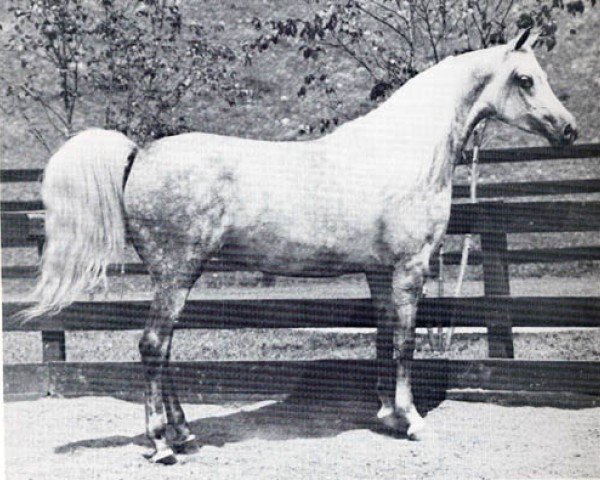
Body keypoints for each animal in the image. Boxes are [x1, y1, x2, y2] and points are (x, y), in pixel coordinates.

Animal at [22, 28, 576, 464]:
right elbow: (404, 343)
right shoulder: (408, 268)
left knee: (164, 347)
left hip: (173, 278)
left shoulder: (380, 272)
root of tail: (140, 153)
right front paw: (414, 421)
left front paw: (387, 415)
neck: (402, 151)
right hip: (177, 273)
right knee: (153, 345)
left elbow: (382, 338)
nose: (569, 130)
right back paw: (161, 444)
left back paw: (184, 435)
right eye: (525, 79)